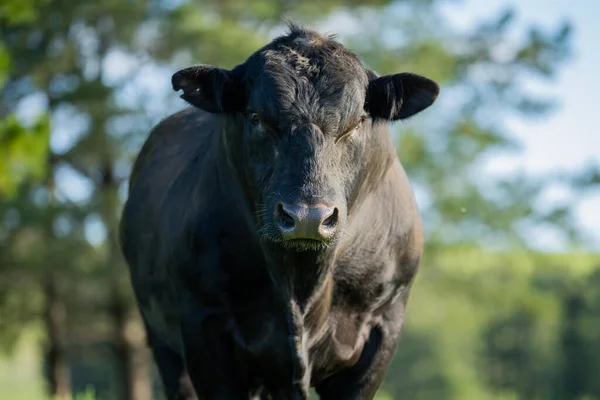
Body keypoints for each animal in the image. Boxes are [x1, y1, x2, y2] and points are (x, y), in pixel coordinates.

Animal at [119, 22, 438, 400]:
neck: (300, 287)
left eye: (358, 121)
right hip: (162, 339)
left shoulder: (383, 326)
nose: (307, 218)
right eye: (256, 117)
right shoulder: (203, 324)